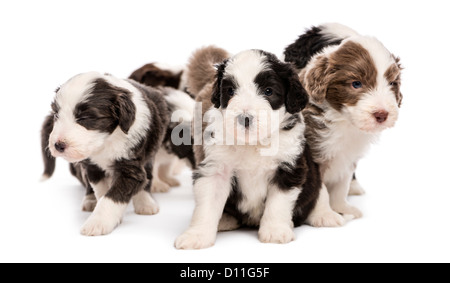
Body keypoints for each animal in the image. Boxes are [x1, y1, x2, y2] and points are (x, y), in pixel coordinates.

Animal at [284, 23, 404, 220]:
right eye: (356, 84)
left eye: (392, 83)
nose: (382, 114)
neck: (342, 120)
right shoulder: (314, 155)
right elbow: (320, 190)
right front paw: (324, 215)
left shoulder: (348, 157)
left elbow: (341, 186)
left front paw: (341, 208)